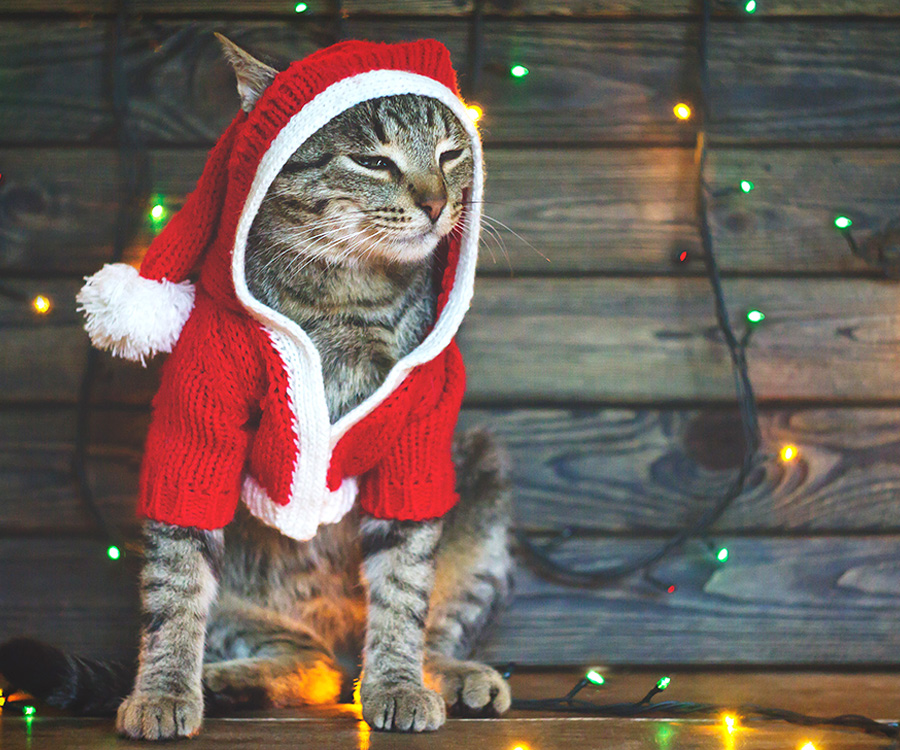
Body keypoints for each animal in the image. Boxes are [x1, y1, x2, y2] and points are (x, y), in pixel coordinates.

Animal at [0, 33, 510, 740]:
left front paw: (400, 681)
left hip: (481, 485)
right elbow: (175, 587)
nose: (438, 204)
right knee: (305, 664)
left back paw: (448, 675)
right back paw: (221, 681)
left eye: (451, 153)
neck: (347, 295)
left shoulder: (417, 449)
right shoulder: (194, 435)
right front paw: (162, 690)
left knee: (413, 633)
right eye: (372, 161)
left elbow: (406, 588)